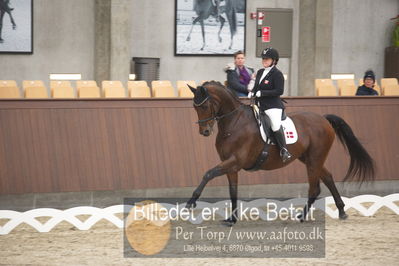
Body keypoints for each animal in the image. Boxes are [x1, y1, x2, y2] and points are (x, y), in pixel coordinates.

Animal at [186, 80, 376, 224]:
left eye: (205, 106)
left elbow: (208, 174)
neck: (233, 123)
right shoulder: (230, 164)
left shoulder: (235, 161)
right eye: (194, 107)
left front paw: (191, 202)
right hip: (309, 159)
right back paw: (341, 211)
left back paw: (302, 217)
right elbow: (233, 191)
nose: (205, 132)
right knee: (328, 178)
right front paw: (231, 219)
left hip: (314, 159)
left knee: (314, 188)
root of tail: (323, 119)